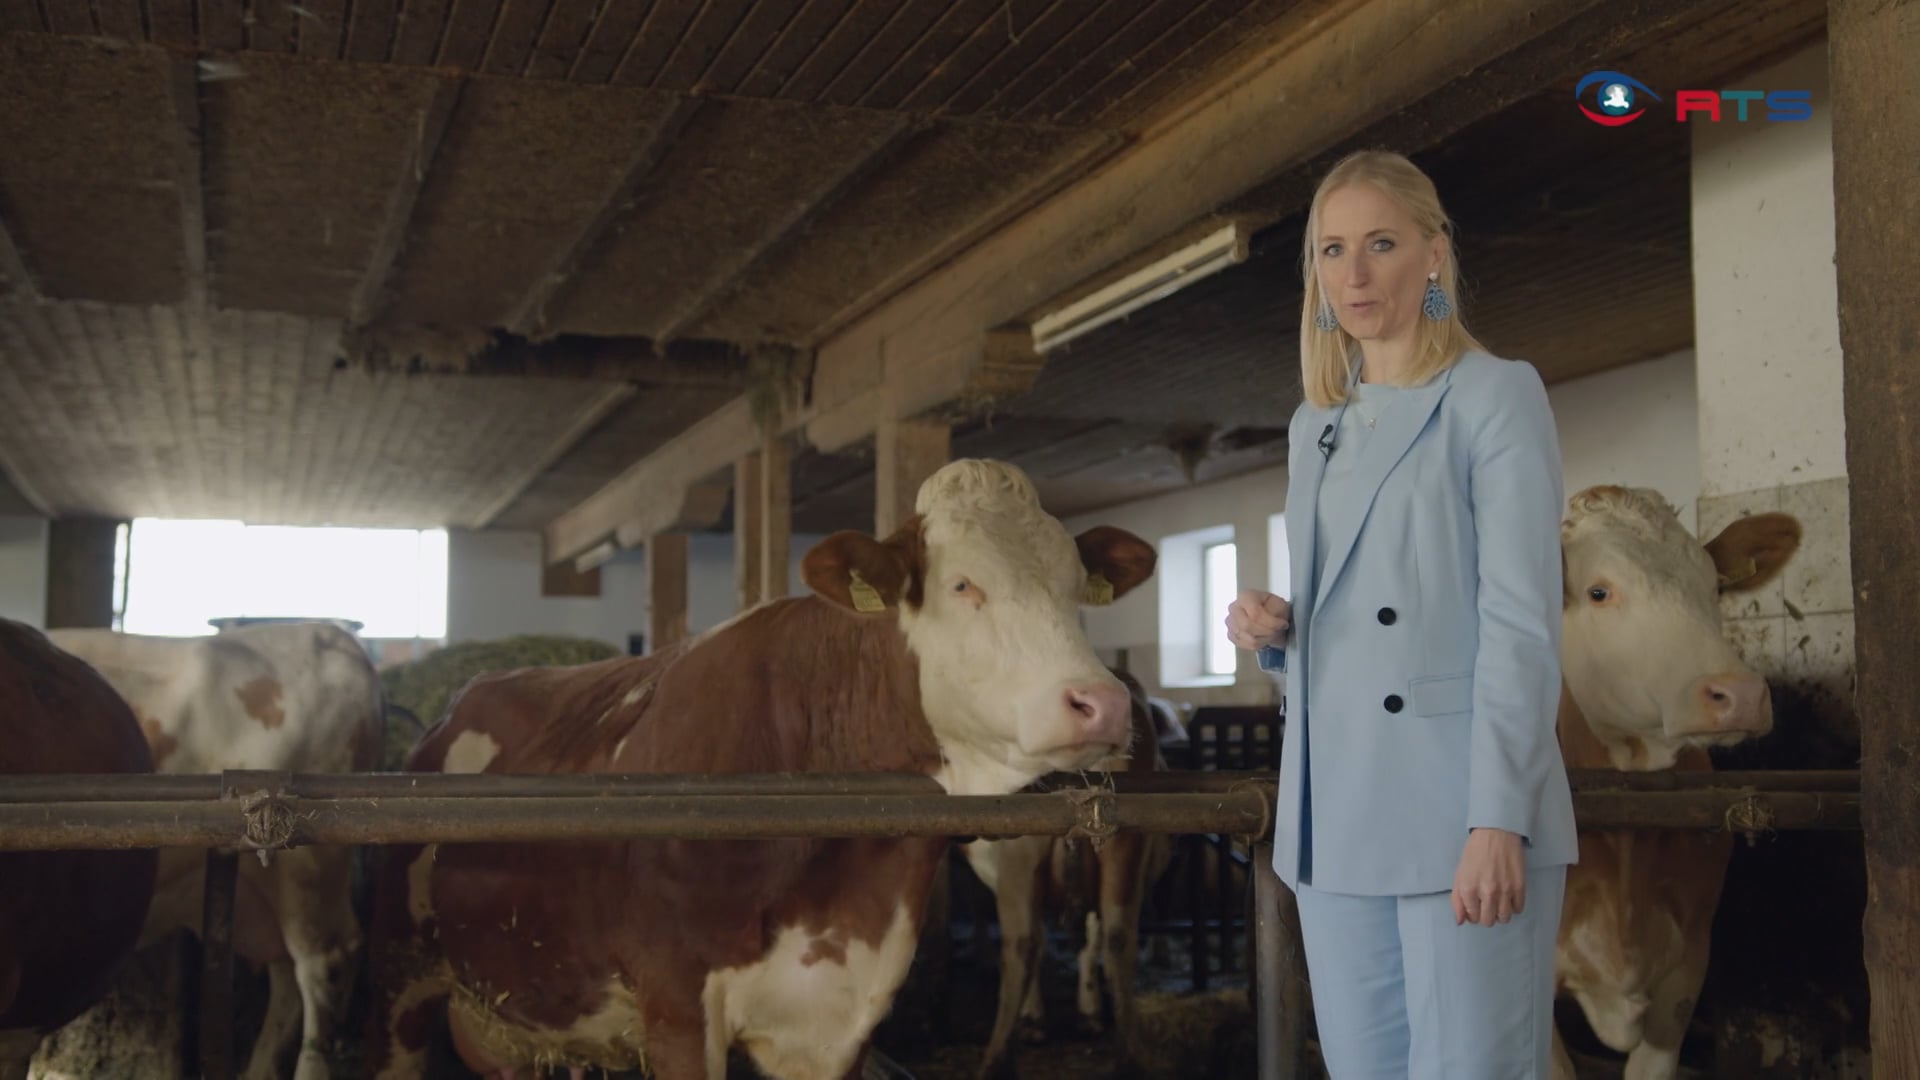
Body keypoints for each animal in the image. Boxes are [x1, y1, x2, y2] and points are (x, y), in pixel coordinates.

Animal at [960, 668, 1167, 1068]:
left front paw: (1035, 1017)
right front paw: (1089, 1011)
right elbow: (1090, 939)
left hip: (1020, 851)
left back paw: (997, 1056)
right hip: (1123, 846)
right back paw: (1129, 1054)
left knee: (1023, 943)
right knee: (1117, 937)